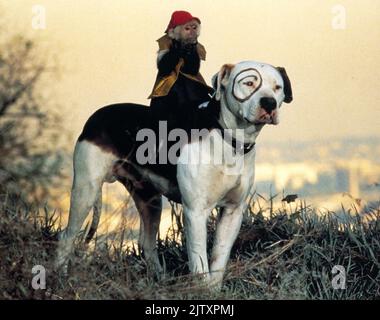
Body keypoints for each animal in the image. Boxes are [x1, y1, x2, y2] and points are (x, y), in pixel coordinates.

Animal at [56, 60, 292, 288]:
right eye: (249, 83)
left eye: (277, 87)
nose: (269, 103)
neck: (227, 137)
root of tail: (96, 116)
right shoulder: (195, 212)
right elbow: (200, 264)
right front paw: (201, 291)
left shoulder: (232, 212)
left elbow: (218, 261)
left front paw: (213, 291)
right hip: (86, 190)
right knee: (67, 236)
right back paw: (59, 277)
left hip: (149, 200)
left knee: (147, 243)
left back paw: (160, 281)